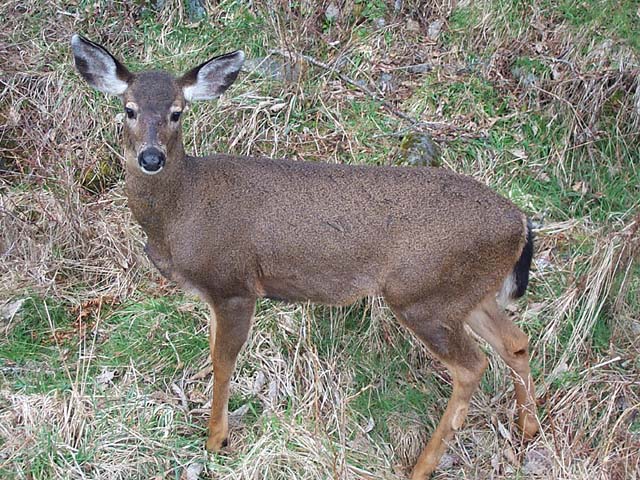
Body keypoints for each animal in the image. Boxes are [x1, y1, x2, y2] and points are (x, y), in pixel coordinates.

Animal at [71, 32, 540, 476]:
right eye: (129, 109)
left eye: (177, 112)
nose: (151, 157)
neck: (182, 208)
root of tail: (520, 221)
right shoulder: (211, 293)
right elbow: (213, 351)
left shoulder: (235, 284)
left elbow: (224, 362)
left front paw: (216, 439)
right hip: (463, 293)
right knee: (515, 341)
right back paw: (528, 428)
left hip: (422, 295)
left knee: (473, 366)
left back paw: (422, 466)